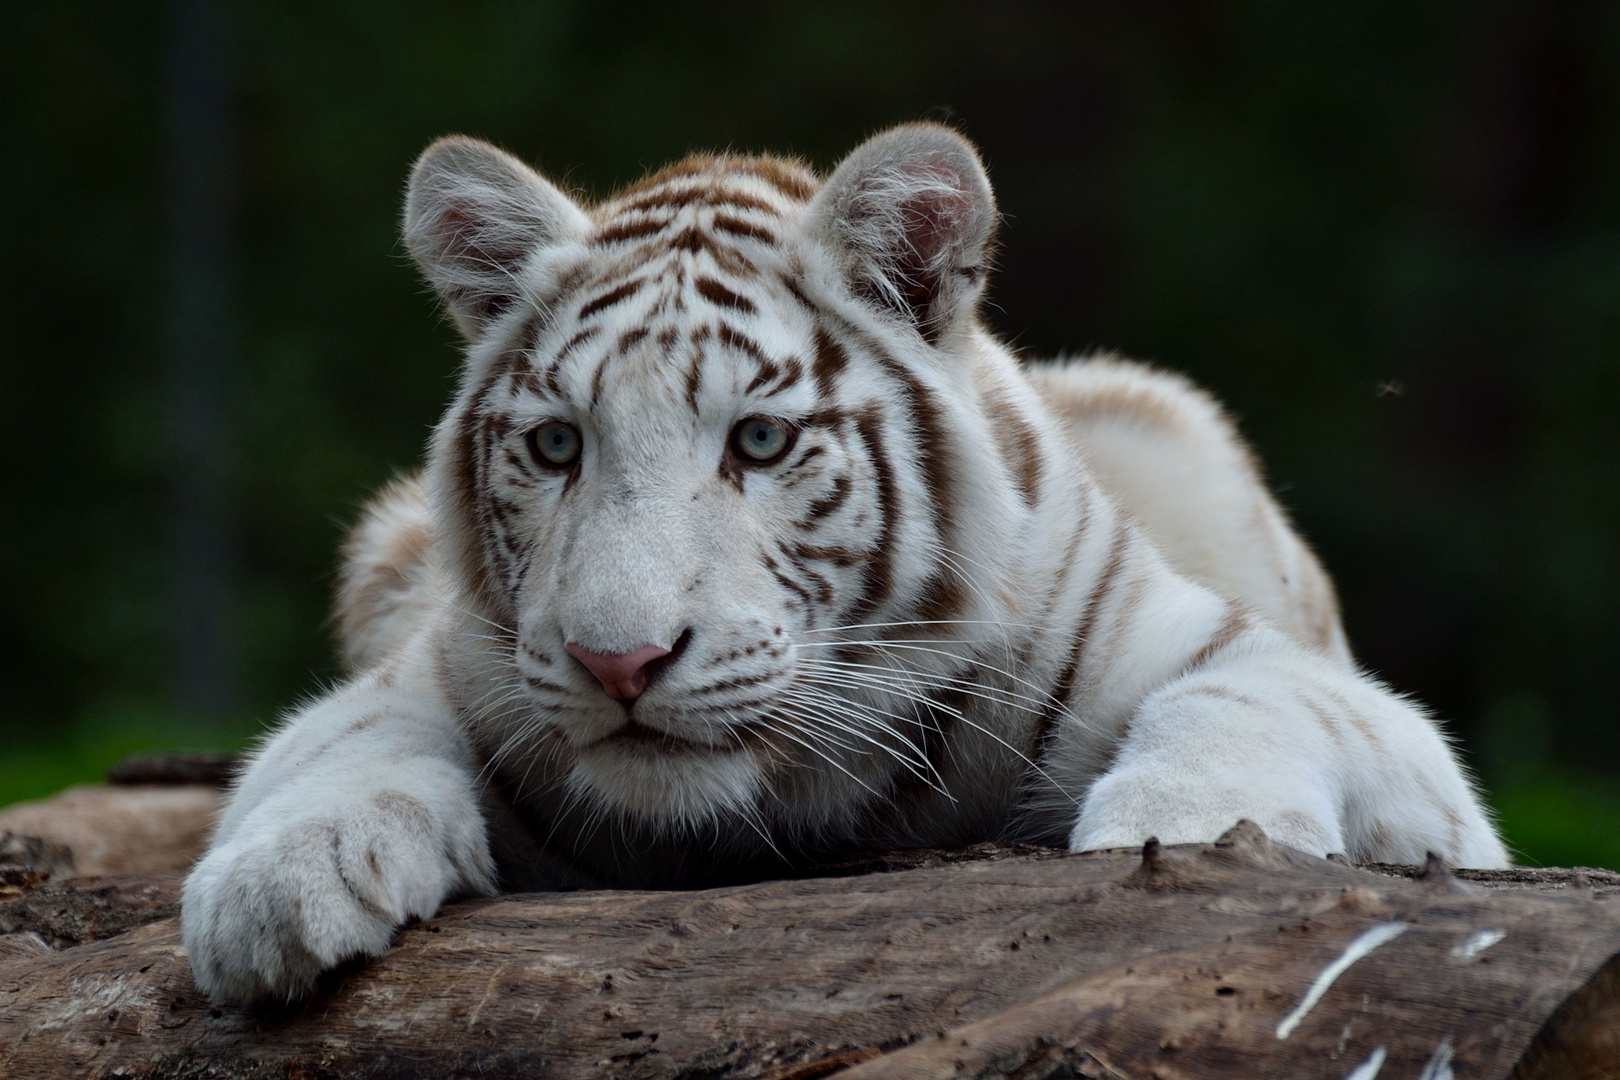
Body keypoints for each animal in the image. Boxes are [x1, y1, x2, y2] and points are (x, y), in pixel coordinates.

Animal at [181, 123, 1507, 1004]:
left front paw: (1182, 829)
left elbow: (1243, 698)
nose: (619, 663)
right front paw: (274, 893)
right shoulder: (441, 667)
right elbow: (344, 744)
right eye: (558, 445)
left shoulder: (1300, 684)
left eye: (760, 441)